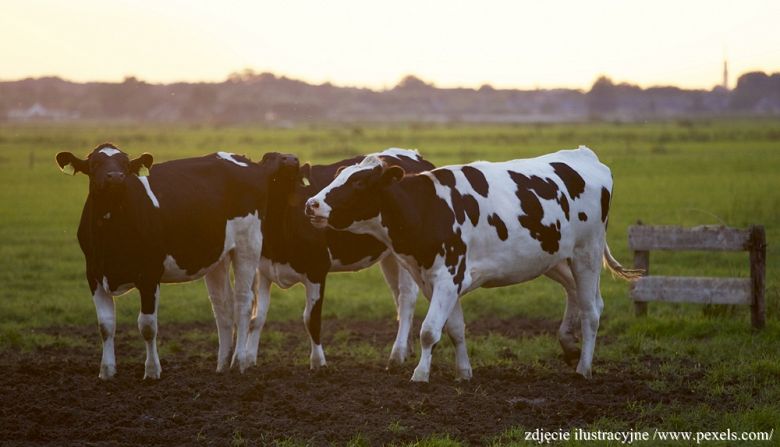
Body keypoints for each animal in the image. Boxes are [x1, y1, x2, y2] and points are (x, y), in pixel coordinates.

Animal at [54, 144, 298, 382]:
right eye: (95, 164)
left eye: (125, 164)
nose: (115, 177)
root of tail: (249, 162)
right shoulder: (93, 274)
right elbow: (105, 325)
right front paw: (106, 371)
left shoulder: (149, 274)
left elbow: (147, 325)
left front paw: (152, 371)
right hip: (217, 256)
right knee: (223, 307)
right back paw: (222, 365)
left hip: (248, 245)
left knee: (243, 302)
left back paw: (239, 361)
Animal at [248, 149, 436, 370]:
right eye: (268, 158)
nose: (291, 159)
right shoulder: (263, 270)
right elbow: (257, 318)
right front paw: (246, 360)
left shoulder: (317, 270)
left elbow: (311, 319)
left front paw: (318, 363)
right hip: (391, 257)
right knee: (397, 295)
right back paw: (406, 349)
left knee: (406, 298)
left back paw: (397, 355)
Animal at [304, 146, 640, 382]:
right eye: (338, 175)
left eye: (359, 182)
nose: (311, 204)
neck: (428, 208)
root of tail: (584, 155)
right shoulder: (436, 280)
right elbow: (455, 329)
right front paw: (463, 372)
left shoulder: (448, 276)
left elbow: (429, 330)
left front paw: (420, 374)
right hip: (554, 257)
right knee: (578, 295)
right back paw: (569, 345)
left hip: (587, 253)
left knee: (591, 310)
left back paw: (584, 368)